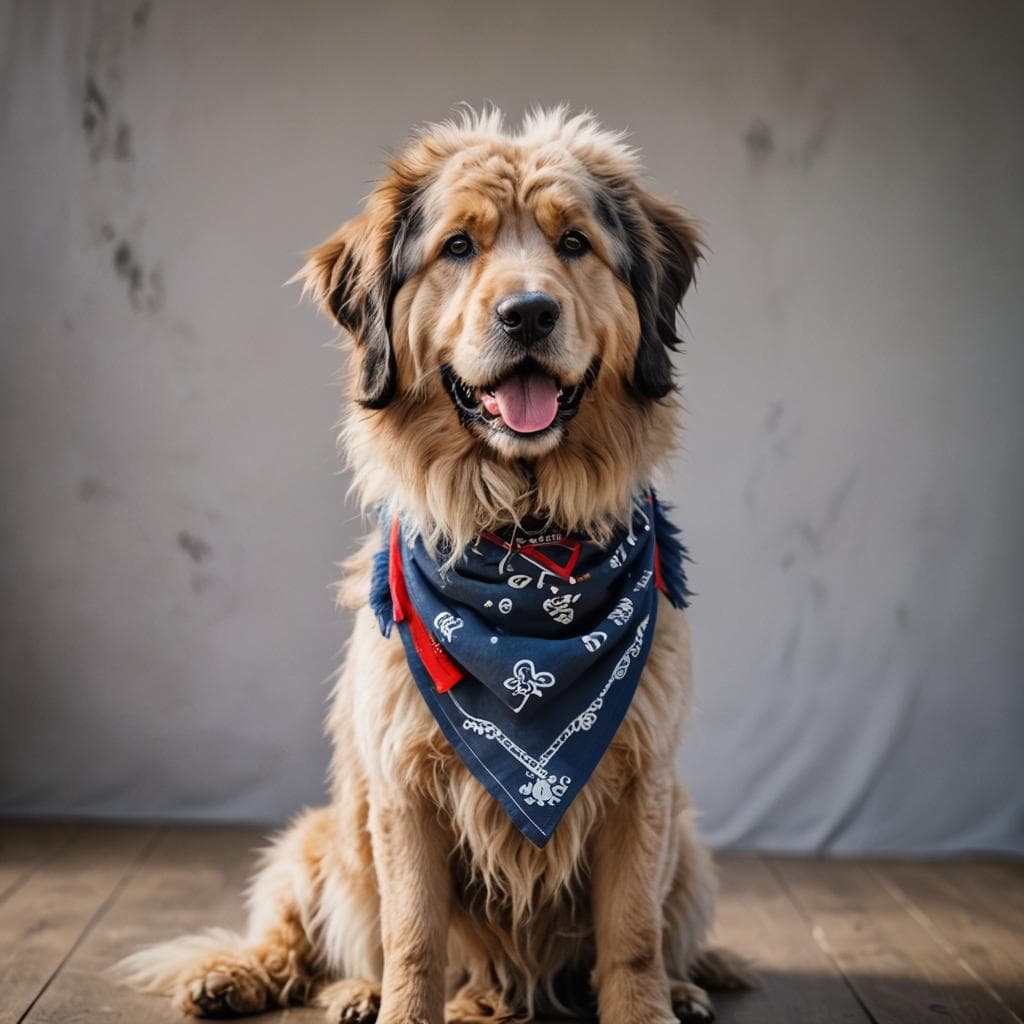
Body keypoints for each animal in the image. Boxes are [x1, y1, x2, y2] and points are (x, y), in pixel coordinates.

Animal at [117, 105, 753, 1024]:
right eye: (458, 246)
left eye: (574, 242)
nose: (528, 313)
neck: (524, 543)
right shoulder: (402, 786)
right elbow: (412, 939)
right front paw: (395, 1004)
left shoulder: (643, 783)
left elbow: (630, 938)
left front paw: (647, 1004)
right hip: (321, 835)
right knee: (296, 934)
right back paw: (277, 982)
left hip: (693, 850)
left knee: (665, 936)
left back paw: (680, 987)